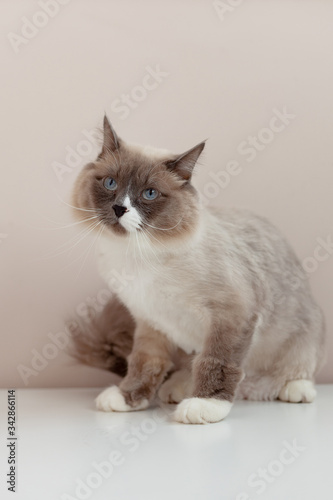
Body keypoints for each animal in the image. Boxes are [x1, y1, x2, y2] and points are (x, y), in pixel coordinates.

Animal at [70, 115, 324, 424]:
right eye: (110, 183)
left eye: (149, 193)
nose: (120, 209)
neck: (137, 256)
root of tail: (251, 391)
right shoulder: (150, 320)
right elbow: (143, 363)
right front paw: (126, 398)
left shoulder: (231, 314)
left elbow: (216, 361)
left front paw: (206, 405)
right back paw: (178, 387)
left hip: (302, 336)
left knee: (294, 371)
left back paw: (294, 389)